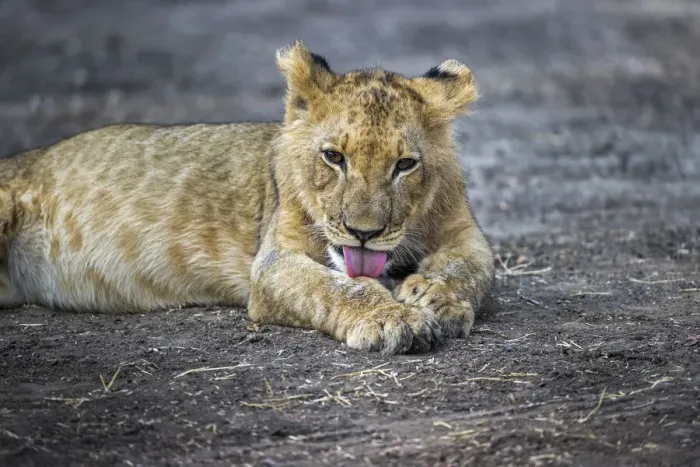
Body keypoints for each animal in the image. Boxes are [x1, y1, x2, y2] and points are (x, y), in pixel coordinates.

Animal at [0, 42, 494, 354]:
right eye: (334, 157)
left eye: (404, 165)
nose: (364, 234)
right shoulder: (273, 264)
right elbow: (339, 286)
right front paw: (394, 317)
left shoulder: (465, 233)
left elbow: (470, 268)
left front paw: (434, 297)